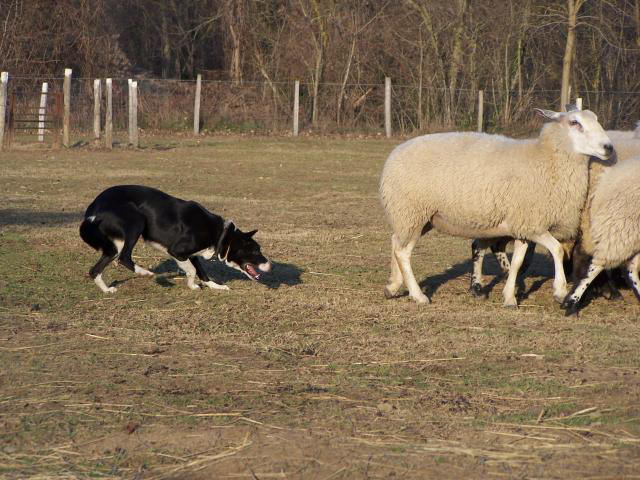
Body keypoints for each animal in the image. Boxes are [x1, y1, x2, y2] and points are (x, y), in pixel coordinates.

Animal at [79, 186, 272, 292]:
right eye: (256, 251)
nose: (270, 265)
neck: (221, 234)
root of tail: (93, 208)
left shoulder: (193, 255)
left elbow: (202, 273)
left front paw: (215, 286)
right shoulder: (177, 251)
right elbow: (192, 271)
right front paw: (192, 285)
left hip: (115, 244)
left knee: (95, 269)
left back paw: (106, 290)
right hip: (136, 222)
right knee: (124, 257)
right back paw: (146, 273)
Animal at [380, 109, 616, 306]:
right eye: (575, 122)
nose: (609, 147)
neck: (547, 157)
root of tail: (395, 153)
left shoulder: (524, 226)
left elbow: (518, 262)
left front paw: (509, 297)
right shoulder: (533, 223)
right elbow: (557, 249)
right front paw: (559, 290)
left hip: (419, 218)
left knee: (394, 242)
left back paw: (393, 286)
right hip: (411, 212)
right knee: (402, 252)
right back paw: (418, 295)